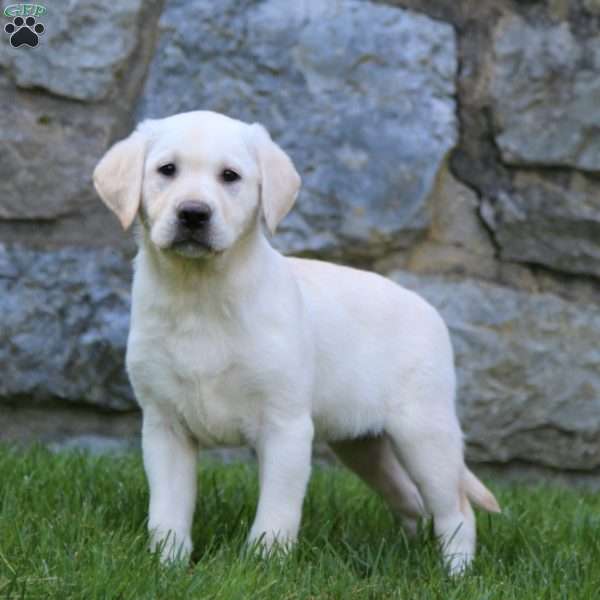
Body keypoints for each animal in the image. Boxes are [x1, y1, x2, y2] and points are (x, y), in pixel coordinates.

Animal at [92, 110, 496, 576]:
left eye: (229, 176)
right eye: (167, 170)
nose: (193, 213)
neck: (200, 294)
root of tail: (428, 307)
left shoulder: (285, 425)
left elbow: (277, 511)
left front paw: (263, 565)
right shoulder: (164, 425)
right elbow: (168, 509)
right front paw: (166, 565)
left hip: (425, 433)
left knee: (456, 509)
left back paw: (456, 573)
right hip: (362, 444)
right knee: (409, 498)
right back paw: (410, 551)